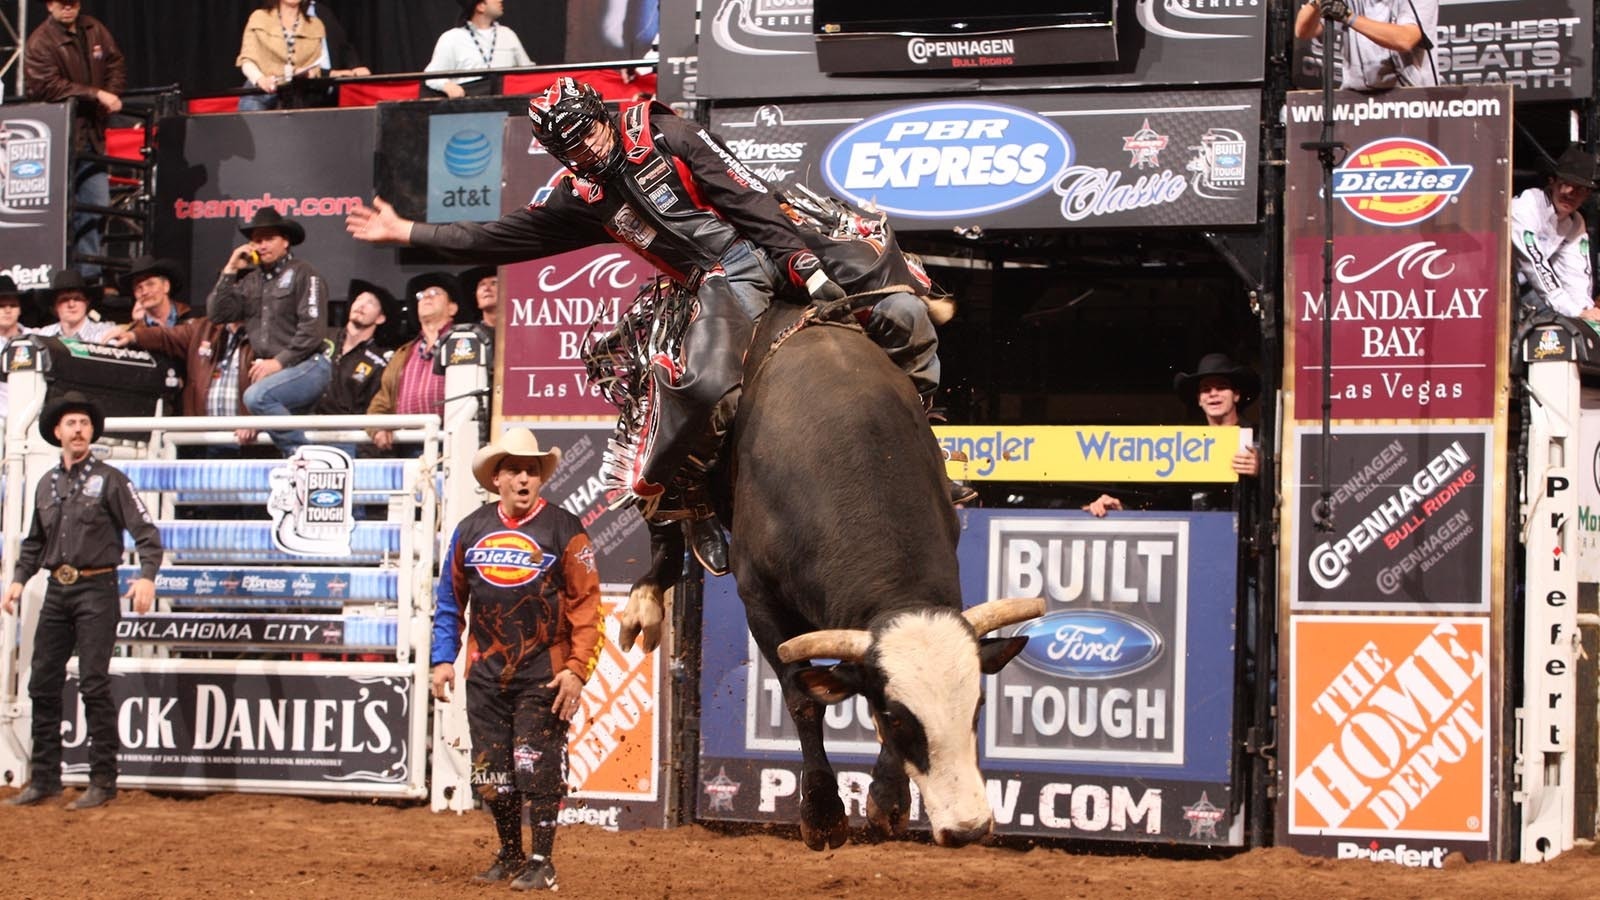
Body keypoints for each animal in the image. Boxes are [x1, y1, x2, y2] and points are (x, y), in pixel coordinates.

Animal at [595, 285, 1043, 845]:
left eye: (977, 707)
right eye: (900, 718)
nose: (968, 827)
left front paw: (888, 800)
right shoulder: (760, 601)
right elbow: (801, 697)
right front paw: (824, 812)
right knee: (659, 503)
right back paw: (652, 594)